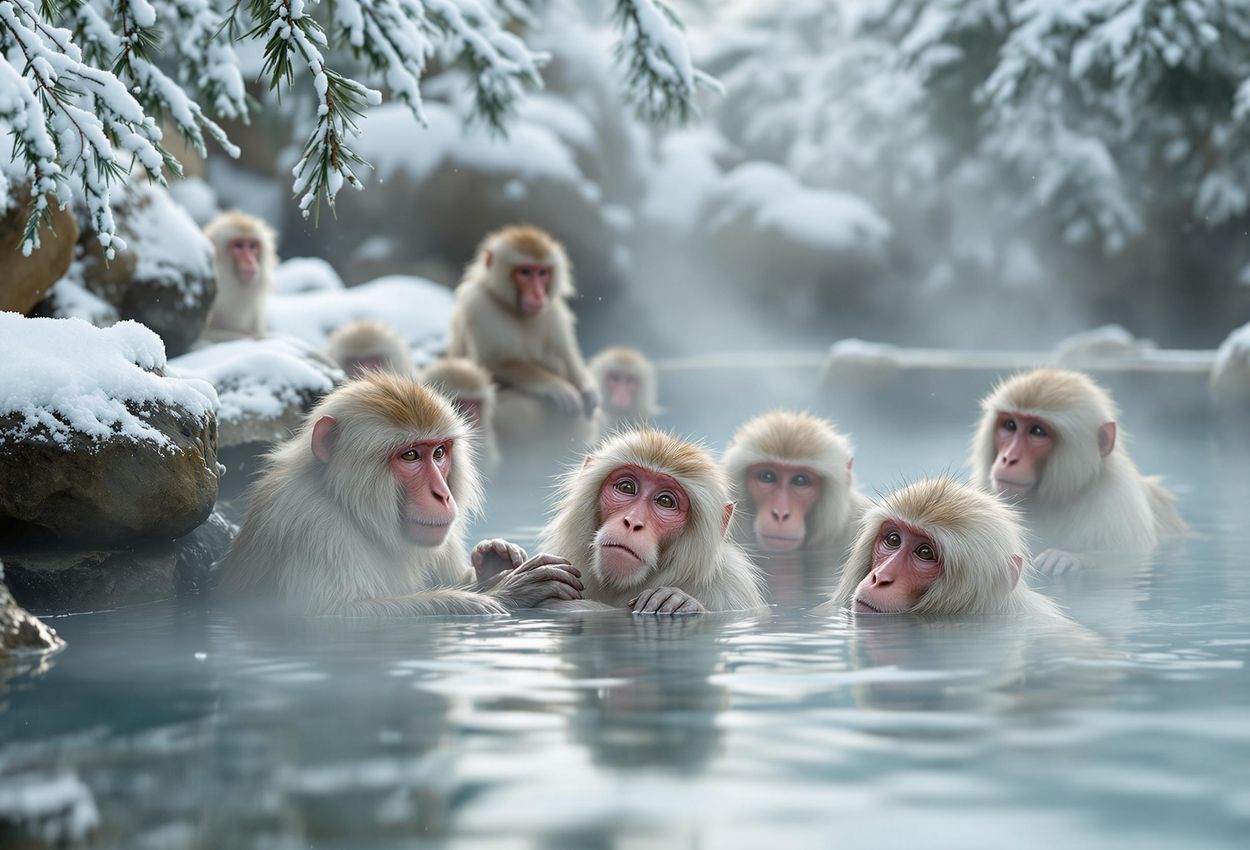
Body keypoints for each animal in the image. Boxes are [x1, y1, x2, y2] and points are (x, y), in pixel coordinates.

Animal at [216, 372, 584, 615]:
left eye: (439, 452)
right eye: (410, 456)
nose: (442, 494)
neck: (350, 509)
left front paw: (494, 558)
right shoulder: (310, 524)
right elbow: (330, 617)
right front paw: (502, 592)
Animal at [447, 226, 598, 448]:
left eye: (542, 273)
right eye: (525, 272)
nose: (538, 295)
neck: (514, 310)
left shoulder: (554, 310)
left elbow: (569, 360)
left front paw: (587, 387)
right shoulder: (477, 303)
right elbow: (491, 364)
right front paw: (555, 384)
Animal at [970, 368, 1187, 573]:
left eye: (1037, 431)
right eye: (1010, 425)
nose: (1008, 459)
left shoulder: (1118, 497)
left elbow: (1128, 560)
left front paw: (1069, 559)